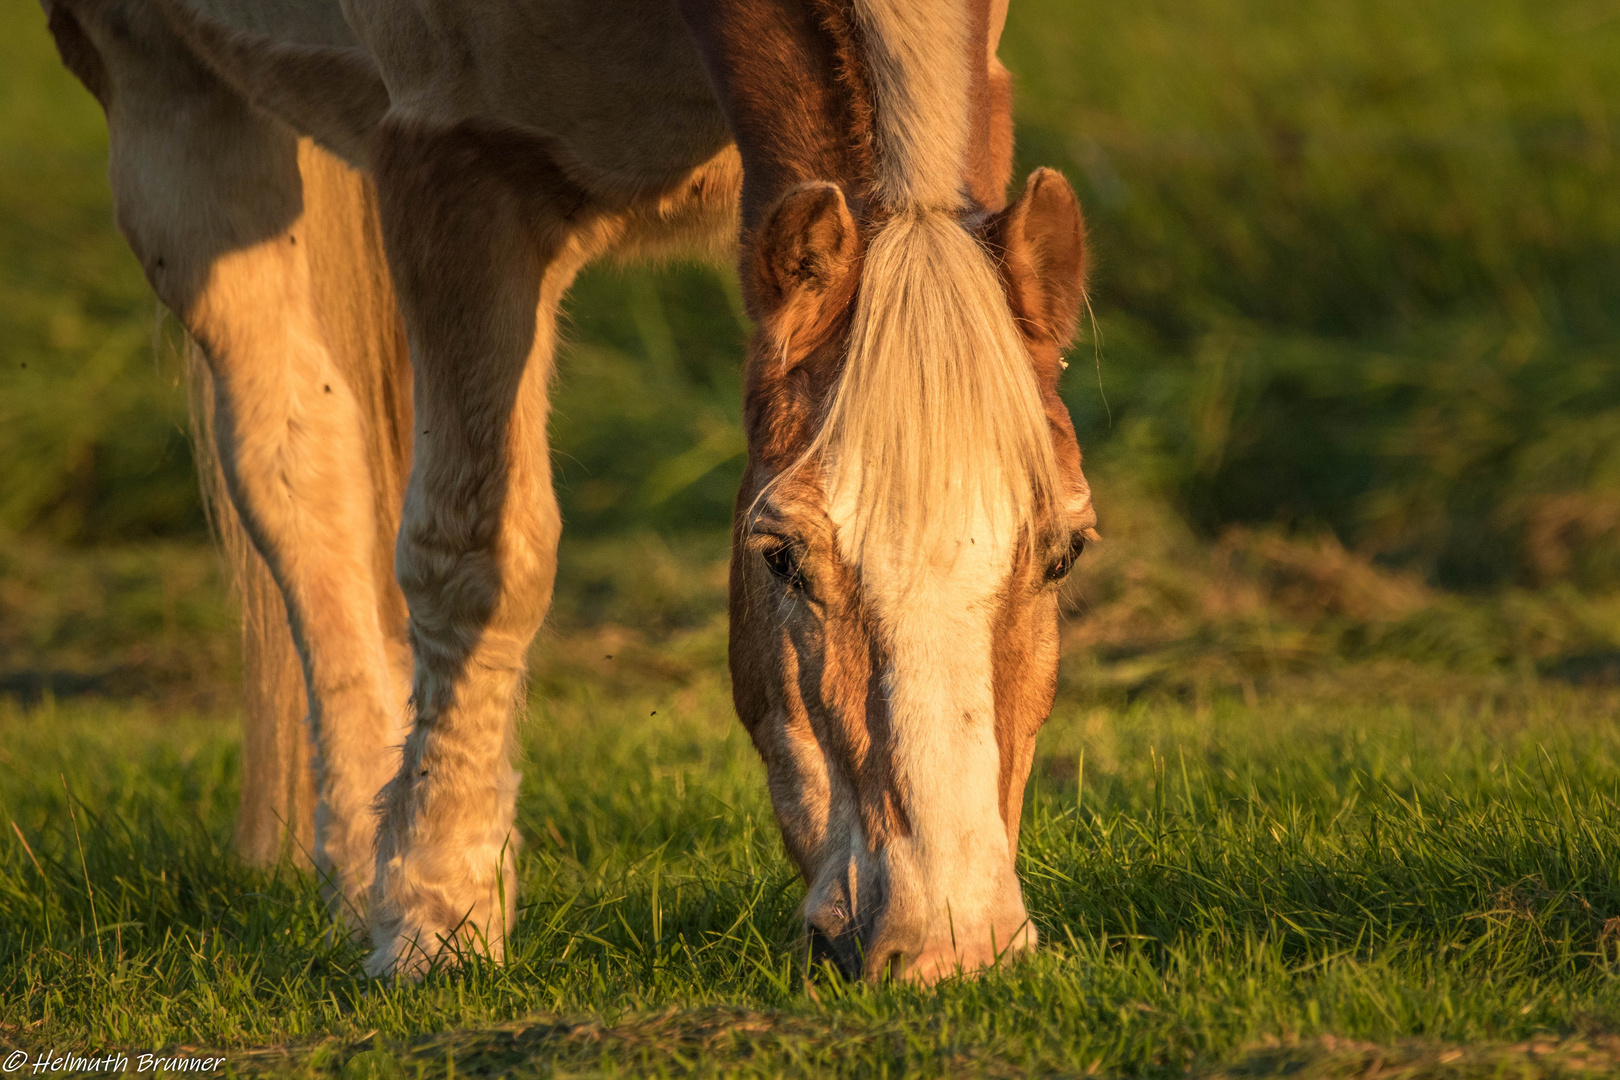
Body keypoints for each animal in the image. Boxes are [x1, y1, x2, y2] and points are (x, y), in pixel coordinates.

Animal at [41, 0, 1101, 984]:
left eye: (1065, 554)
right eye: (782, 558)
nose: (952, 945)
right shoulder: (460, 167)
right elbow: (473, 557)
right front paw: (436, 921)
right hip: (171, 100)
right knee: (299, 470)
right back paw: (363, 867)